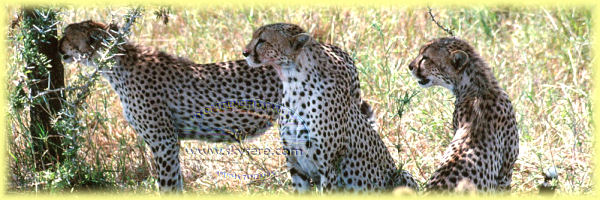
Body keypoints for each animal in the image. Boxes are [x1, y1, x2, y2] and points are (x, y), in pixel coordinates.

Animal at [58, 19, 284, 191]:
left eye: (67, 36)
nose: (58, 48)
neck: (116, 65)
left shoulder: (164, 141)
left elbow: (168, 183)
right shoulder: (168, 141)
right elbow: (176, 181)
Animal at [241, 22, 414, 193]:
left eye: (262, 41)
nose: (244, 53)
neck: (293, 84)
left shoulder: (328, 169)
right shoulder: (296, 166)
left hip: (403, 174)